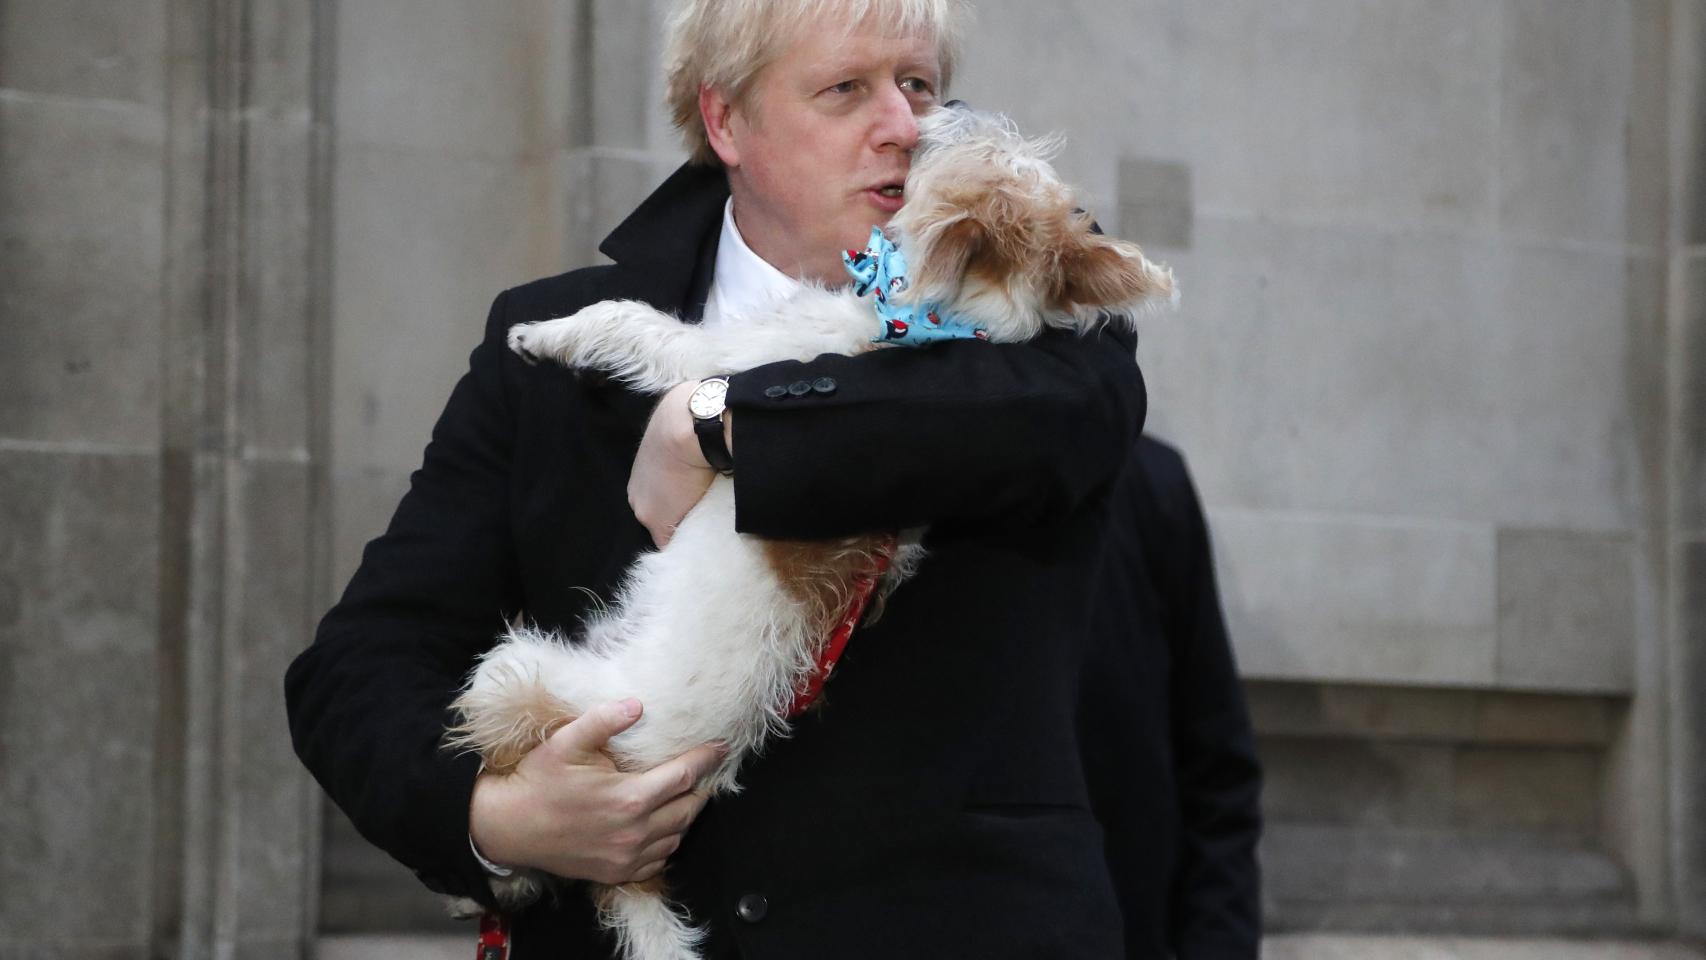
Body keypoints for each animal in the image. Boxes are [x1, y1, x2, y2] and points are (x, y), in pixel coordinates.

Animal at [446, 105, 1180, 960]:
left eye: (975, 152)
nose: (935, 110)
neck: (926, 322)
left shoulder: (718, 358)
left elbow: (630, 321)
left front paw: (542, 332)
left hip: (518, 671)